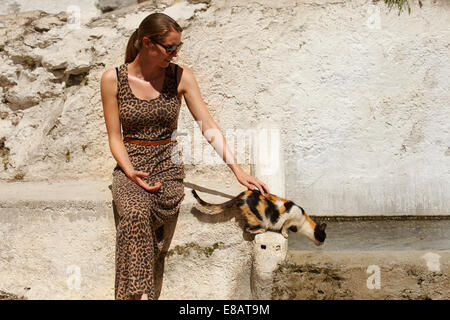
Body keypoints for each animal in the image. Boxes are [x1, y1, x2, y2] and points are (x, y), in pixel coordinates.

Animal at [191, 189, 326, 246]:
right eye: (323, 236)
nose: (323, 243)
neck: (303, 222)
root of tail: (240, 196)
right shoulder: (290, 218)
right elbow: (284, 226)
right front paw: (285, 234)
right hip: (259, 219)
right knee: (246, 229)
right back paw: (261, 230)